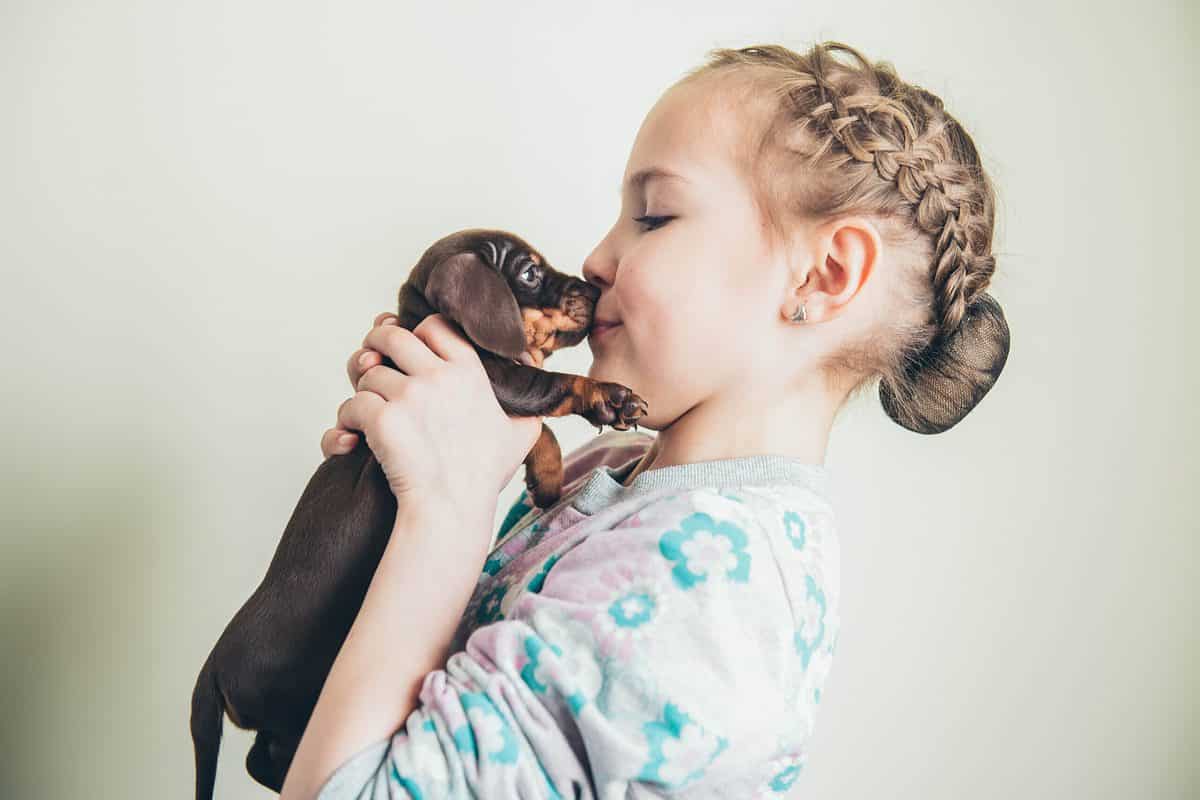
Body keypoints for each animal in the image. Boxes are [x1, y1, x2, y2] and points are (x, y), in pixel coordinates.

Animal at [189, 230, 648, 800]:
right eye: (530, 274)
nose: (594, 287)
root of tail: (213, 667)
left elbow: (539, 427)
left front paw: (545, 475)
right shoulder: (495, 377)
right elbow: (552, 384)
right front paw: (608, 396)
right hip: (298, 699)